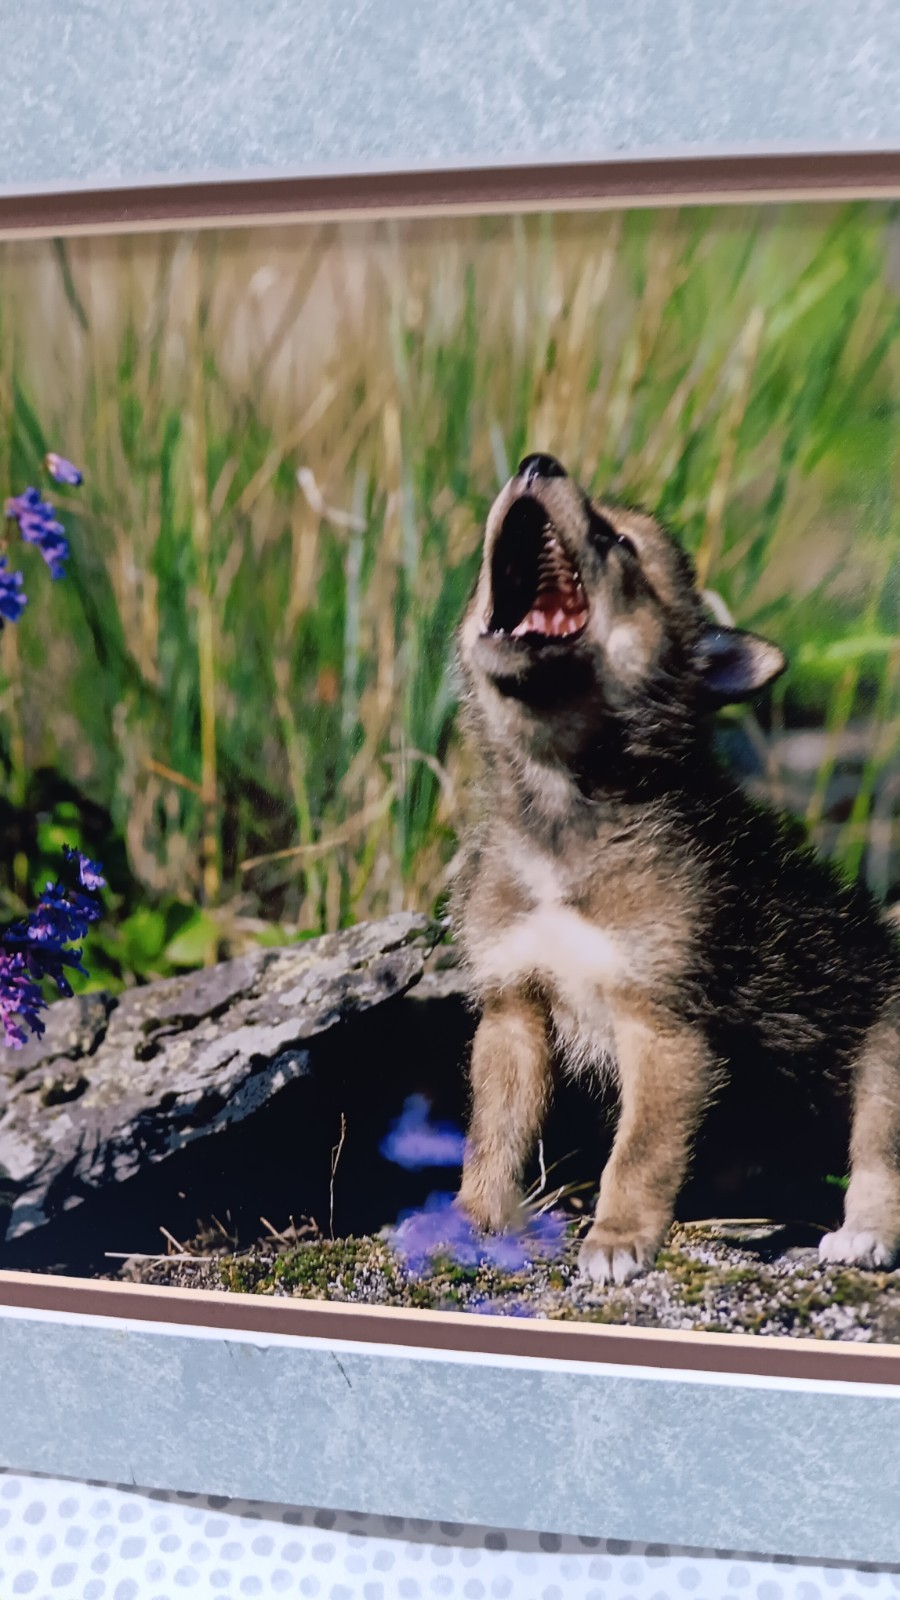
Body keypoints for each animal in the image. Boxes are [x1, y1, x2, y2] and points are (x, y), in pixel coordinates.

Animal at [451, 452, 900, 1286]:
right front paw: (466, 1222)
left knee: (877, 1159)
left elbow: (638, 1154)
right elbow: (493, 1137)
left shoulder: (664, 1025)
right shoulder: (512, 1010)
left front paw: (618, 1239)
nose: (536, 461)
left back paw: (863, 1234)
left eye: (620, 541)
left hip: (885, 1058)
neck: (562, 818)